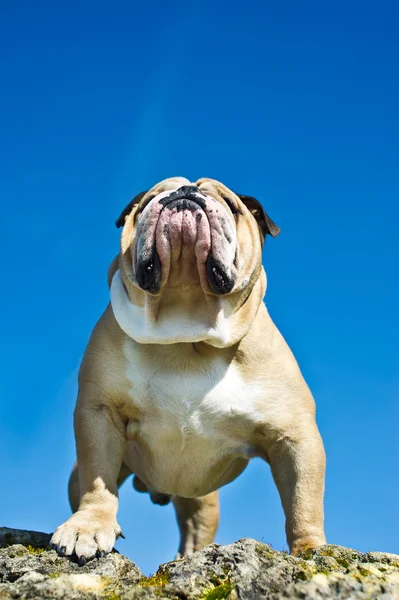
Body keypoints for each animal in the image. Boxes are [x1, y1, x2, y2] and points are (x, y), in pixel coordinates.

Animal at [50, 177, 326, 564]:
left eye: (231, 205)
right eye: (149, 201)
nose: (184, 194)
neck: (185, 328)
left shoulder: (294, 436)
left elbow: (303, 501)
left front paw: (311, 550)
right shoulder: (100, 413)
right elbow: (97, 479)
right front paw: (88, 527)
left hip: (202, 502)